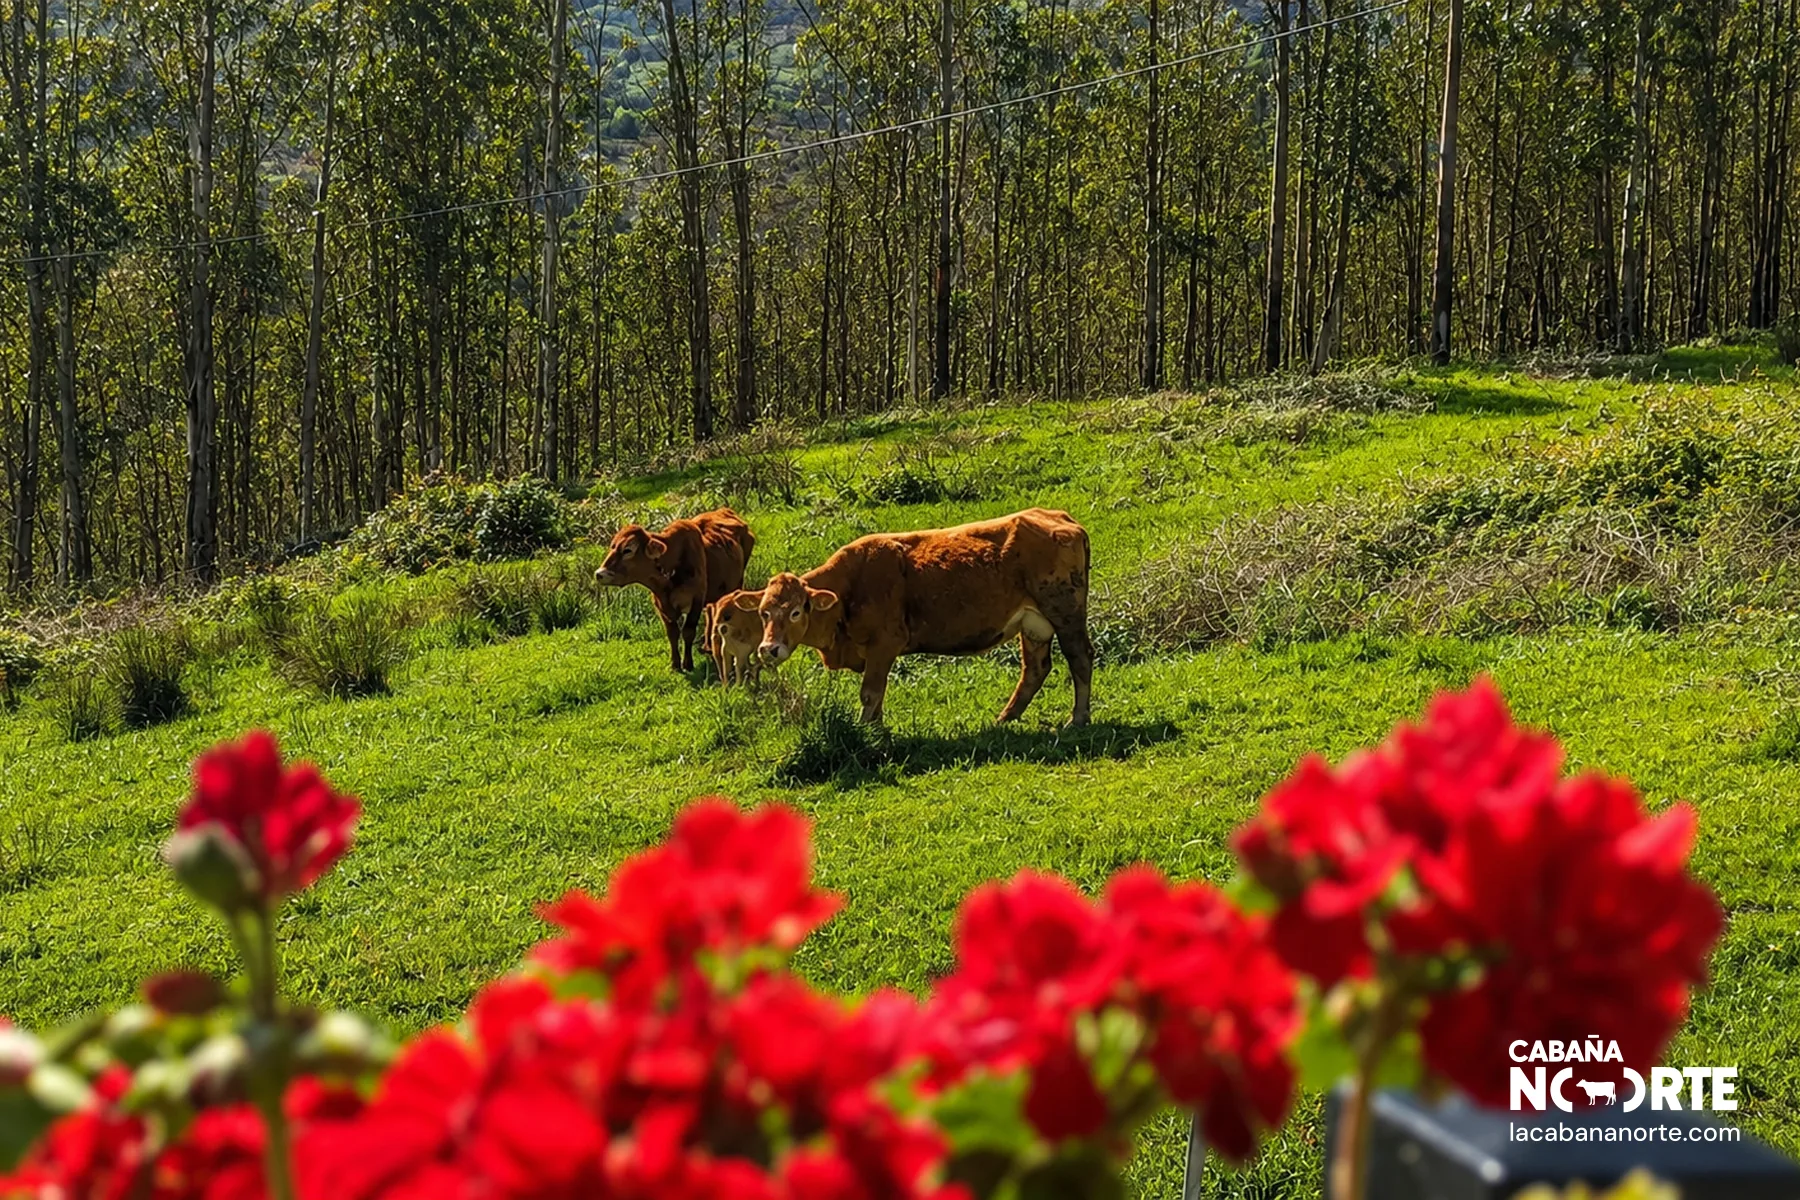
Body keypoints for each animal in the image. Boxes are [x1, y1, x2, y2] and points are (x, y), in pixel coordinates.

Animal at [595, 508, 755, 673]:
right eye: (612, 546)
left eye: (628, 550)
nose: (599, 574)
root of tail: (724, 510)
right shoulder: (660, 604)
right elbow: (672, 633)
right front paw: (675, 664)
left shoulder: (697, 599)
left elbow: (688, 631)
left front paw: (688, 664)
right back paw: (708, 646)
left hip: (737, 584)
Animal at [740, 508, 1092, 726]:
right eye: (764, 613)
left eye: (796, 611)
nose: (769, 649)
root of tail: (1059, 518)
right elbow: (878, 696)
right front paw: (876, 731)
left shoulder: (884, 644)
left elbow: (870, 693)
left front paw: (867, 732)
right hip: (1034, 624)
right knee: (1035, 669)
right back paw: (1005, 718)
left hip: (1065, 612)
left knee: (1080, 658)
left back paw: (1078, 718)